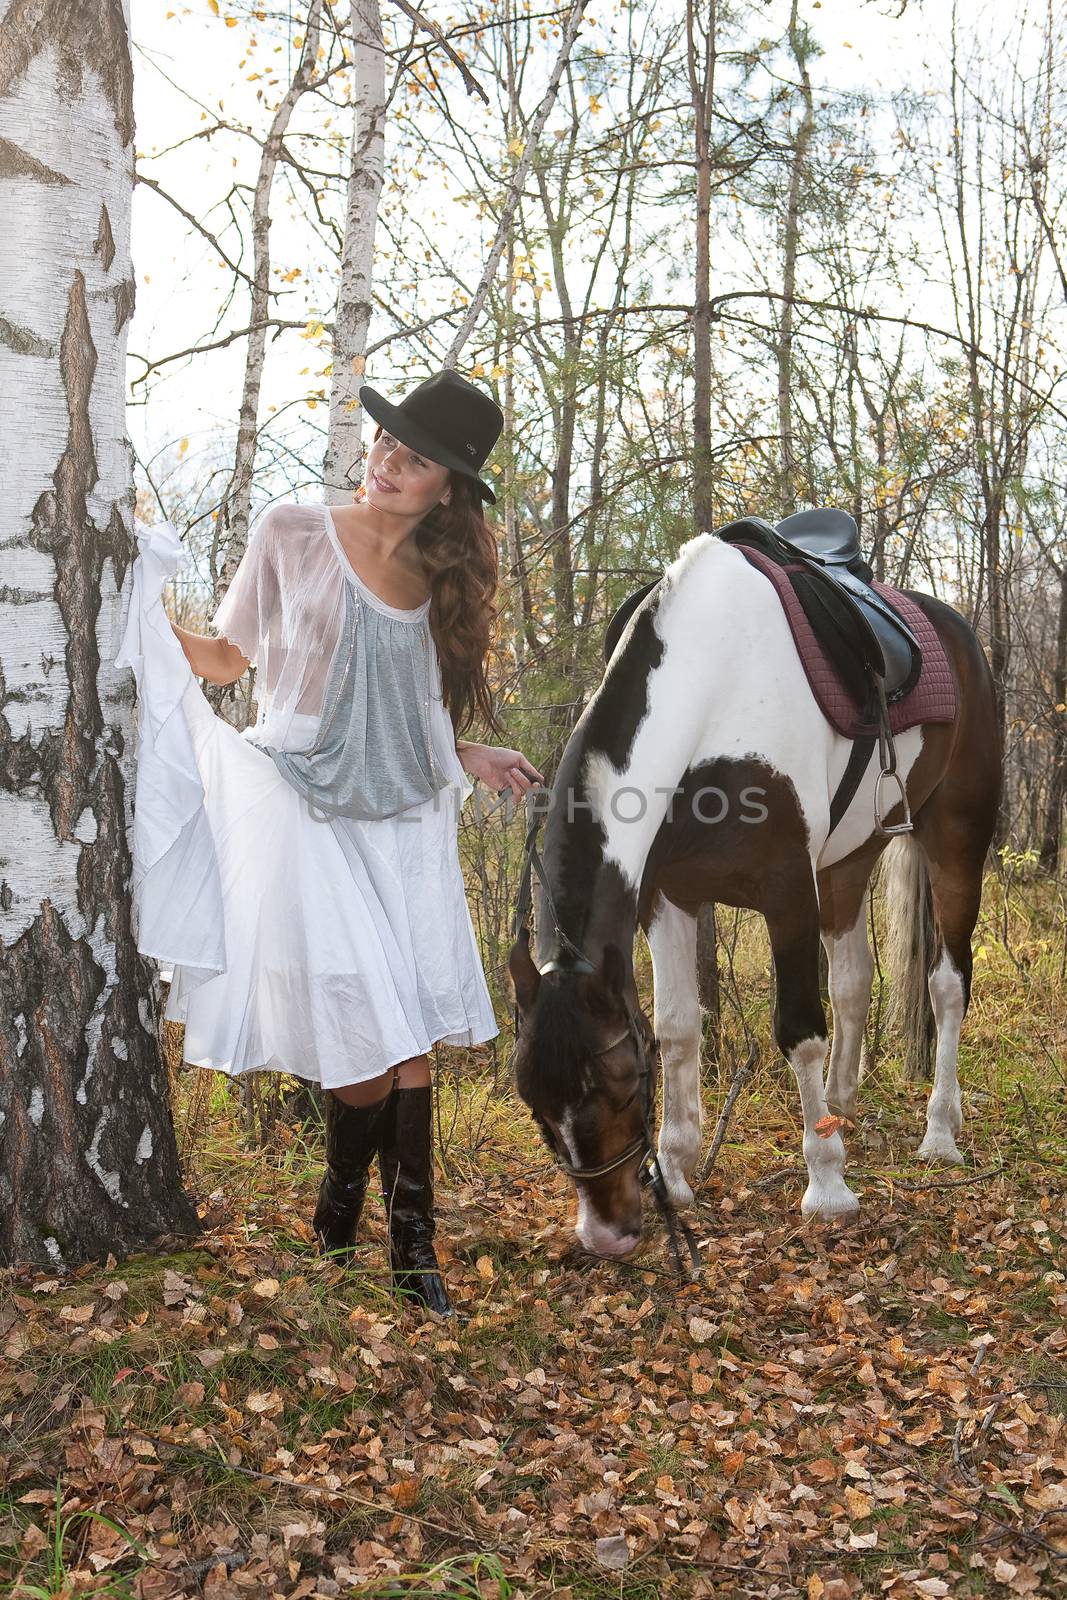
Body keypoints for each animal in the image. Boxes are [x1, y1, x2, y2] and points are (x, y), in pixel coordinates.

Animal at [508, 524, 1004, 1260]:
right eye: (536, 1103)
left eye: (620, 1086)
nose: (605, 1236)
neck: (710, 687)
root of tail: (955, 632)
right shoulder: (668, 897)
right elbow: (679, 1026)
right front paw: (678, 1168)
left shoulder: (787, 890)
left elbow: (798, 1030)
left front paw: (827, 1185)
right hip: (847, 860)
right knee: (853, 977)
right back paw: (841, 1102)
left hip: (954, 841)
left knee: (947, 983)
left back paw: (939, 1131)